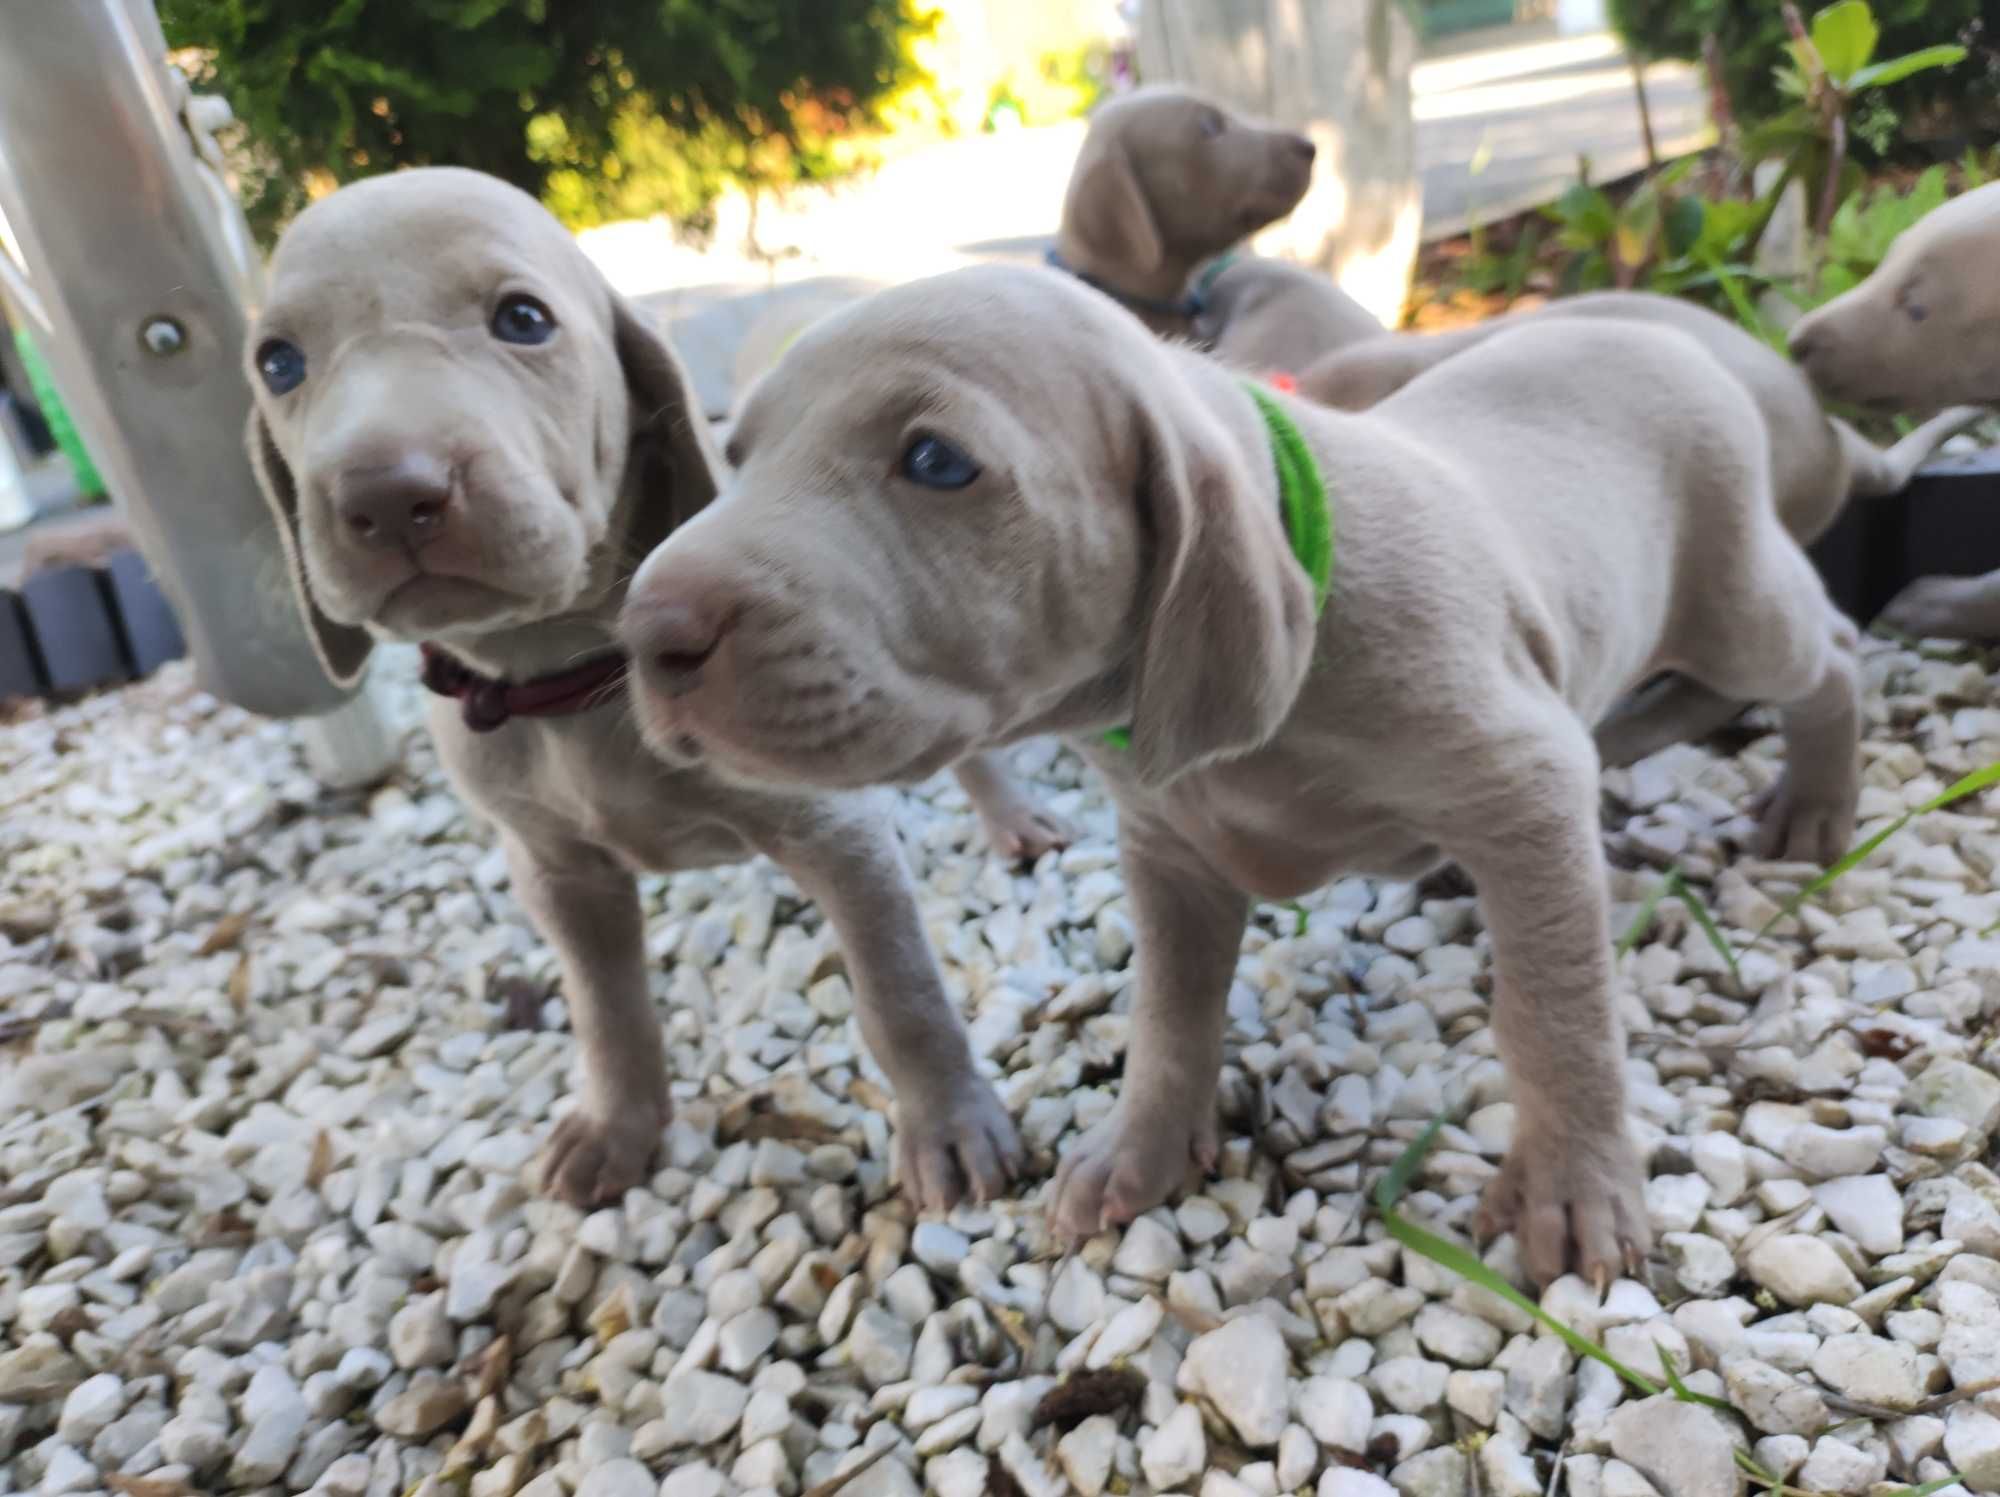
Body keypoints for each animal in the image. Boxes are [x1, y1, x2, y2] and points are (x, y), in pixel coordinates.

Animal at [246, 169, 1032, 1208]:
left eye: (524, 319)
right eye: (279, 362)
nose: (385, 493)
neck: (564, 679)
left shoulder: (837, 834)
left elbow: (899, 992)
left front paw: (949, 1124)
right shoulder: (557, 872)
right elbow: (605, 1007)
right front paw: (618, 1128)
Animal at [620, 262, 1856, 1280]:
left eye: (935, 461)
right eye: (736, 460)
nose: (646, 630)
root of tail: (1659, 329)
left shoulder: (1522, 779)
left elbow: (1552, 1013)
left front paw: (1573, 1183)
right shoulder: (1168, 845)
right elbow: (1170, 1013)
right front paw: (1140, 1149)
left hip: (1733, 595)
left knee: (1823, 647)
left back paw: (1812, 806)